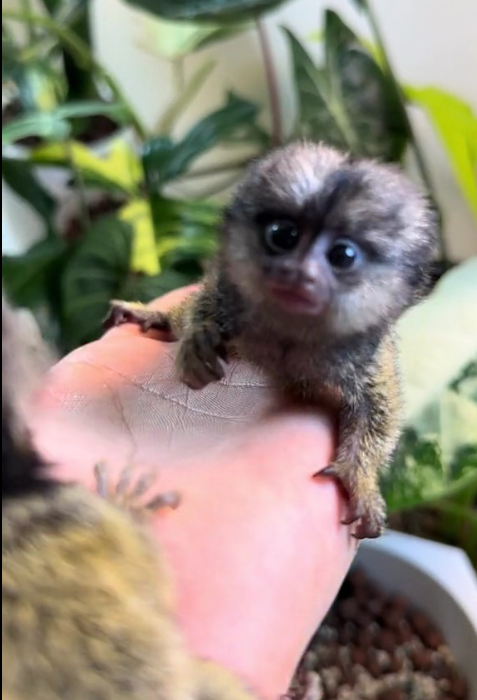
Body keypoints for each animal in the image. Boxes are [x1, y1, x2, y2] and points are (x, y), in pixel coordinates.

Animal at [104, 141, 438, 540]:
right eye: (283, 236)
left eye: (343, 255)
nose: (297, 273)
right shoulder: (227, 298)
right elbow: (202, 308)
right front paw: (195, 341)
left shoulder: (367, 354)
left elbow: (379, 407)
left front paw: (359, 477)